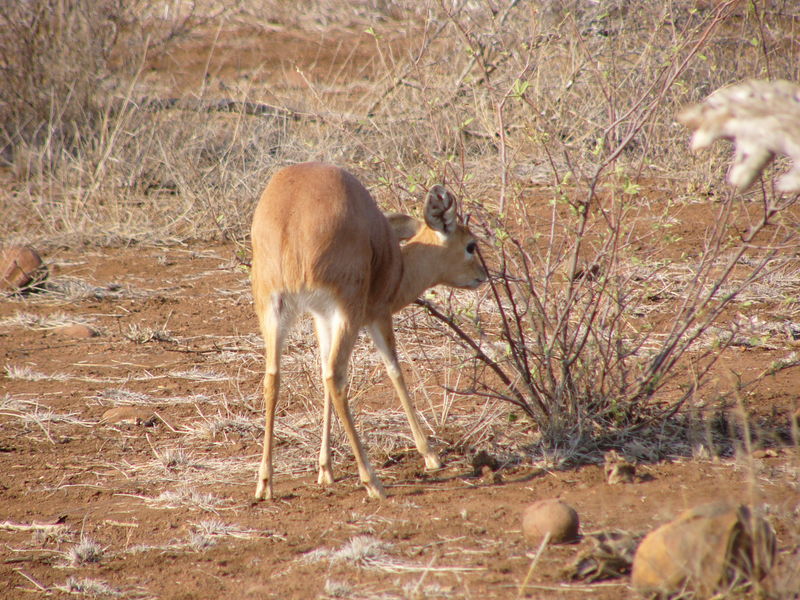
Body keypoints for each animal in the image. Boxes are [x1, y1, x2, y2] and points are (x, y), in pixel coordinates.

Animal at [252, 162, 488, 500]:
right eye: (470, 245)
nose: (483, 275)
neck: (398, 268)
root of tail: (290, 227)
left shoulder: (321, 317)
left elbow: (320, 374)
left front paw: (325, 470)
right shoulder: (378, 314)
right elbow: (395, 371)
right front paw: (430, 456)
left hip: (273, 311)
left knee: (274, 378)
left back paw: (265, 483)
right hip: (347, 312)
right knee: (336, 377)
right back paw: (372, 481)